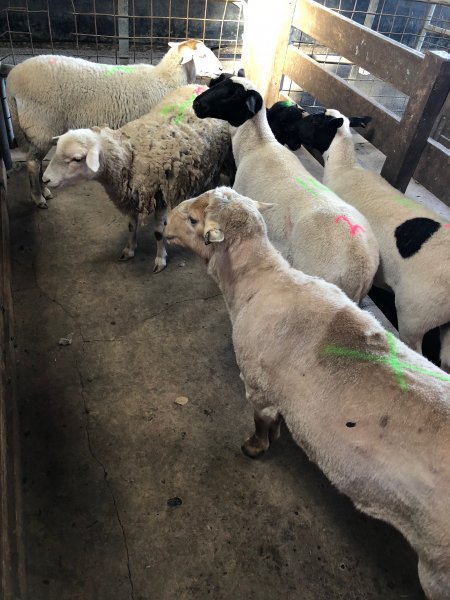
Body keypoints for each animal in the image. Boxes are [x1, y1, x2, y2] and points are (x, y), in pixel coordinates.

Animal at [6, 39, 224, 209]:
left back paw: (44, 187)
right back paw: (38, 197)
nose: (222, 69)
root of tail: (11, 80)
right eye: (203, 55)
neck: (165, 79)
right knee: (33, 163)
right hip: (41, 127)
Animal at [40, 84, 230, 272]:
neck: (131, 153)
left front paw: (160, 259)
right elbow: (131, 226)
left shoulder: (160, 196)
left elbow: (159, 232)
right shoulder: (130, 195)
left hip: (216, 163)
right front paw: (129, 250)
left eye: (77, 159)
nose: (45, 179)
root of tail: (200, 84)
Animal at [163, 185, 450, 600]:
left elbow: (261, 421)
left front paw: (256, 447)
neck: (259, 282)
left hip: (439, 569)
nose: (162, 225)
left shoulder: (257, 381)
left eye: (192, 220)